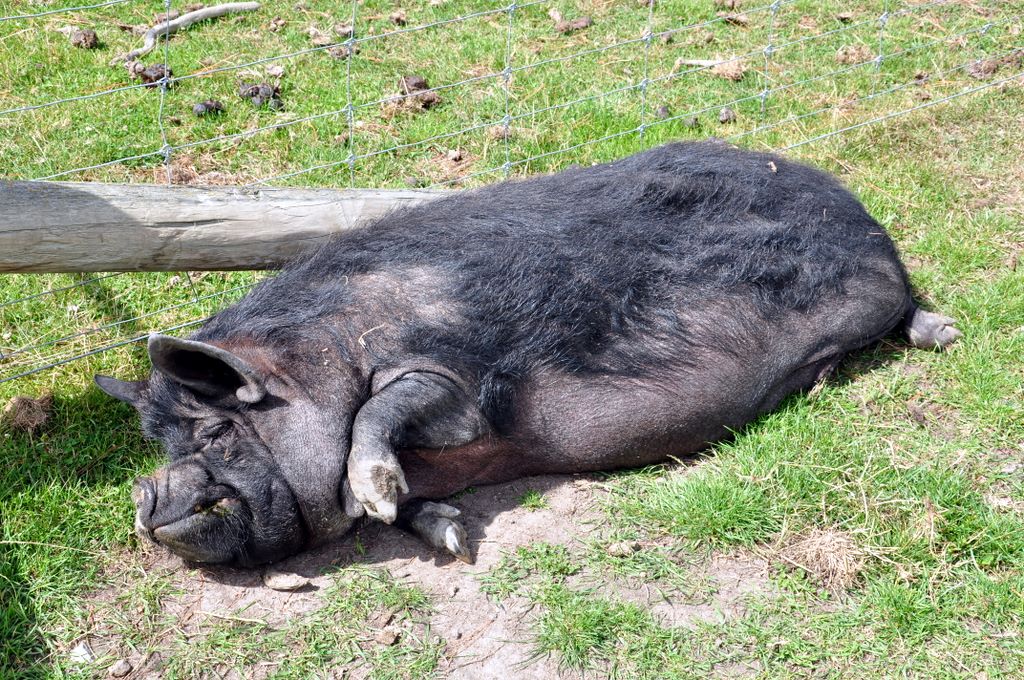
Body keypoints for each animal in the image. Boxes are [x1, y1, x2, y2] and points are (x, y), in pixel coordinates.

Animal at [95, 141, 960, 567]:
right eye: (160, 444)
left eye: (215, 433)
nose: (142, 492)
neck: (317, 360)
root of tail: (854, 203)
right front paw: (442, 533)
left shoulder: (450, 375)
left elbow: (386, 405)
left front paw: (374, 493)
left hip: (876, 285)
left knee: (905, 307)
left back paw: (943, 336)